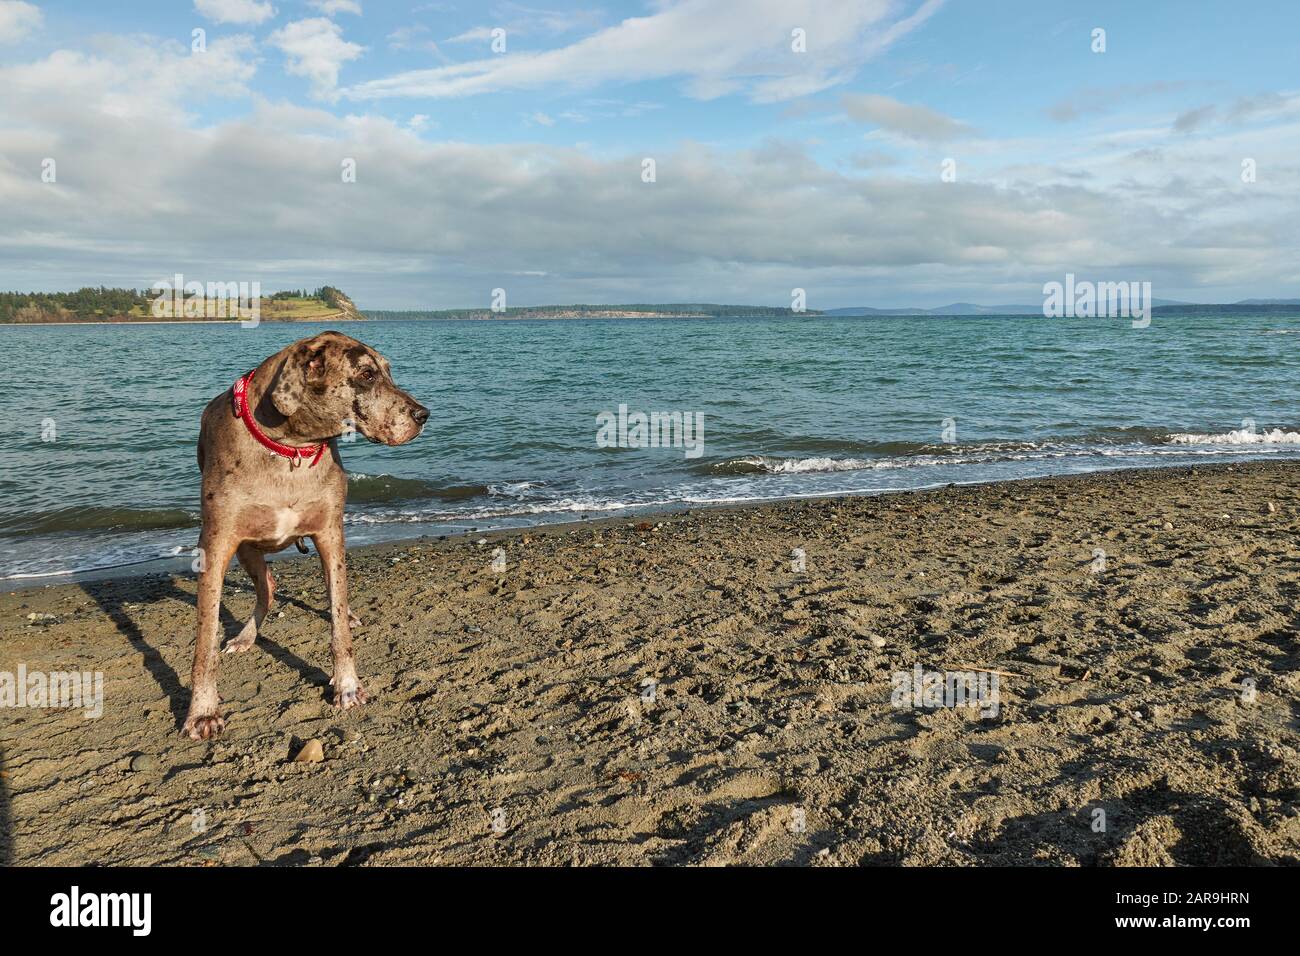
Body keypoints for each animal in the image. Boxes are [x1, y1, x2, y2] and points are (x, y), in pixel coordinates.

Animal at [183, 332, 428, 743]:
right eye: (367, 374)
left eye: (388, 371)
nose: (423, 415)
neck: (289, 447)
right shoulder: (215, 545)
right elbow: (204, 640)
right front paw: (202, 710)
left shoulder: (330, 533)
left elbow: (338, 625)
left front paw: (347, 685)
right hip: (247, 550)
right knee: (267, 587)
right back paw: (245, 637)